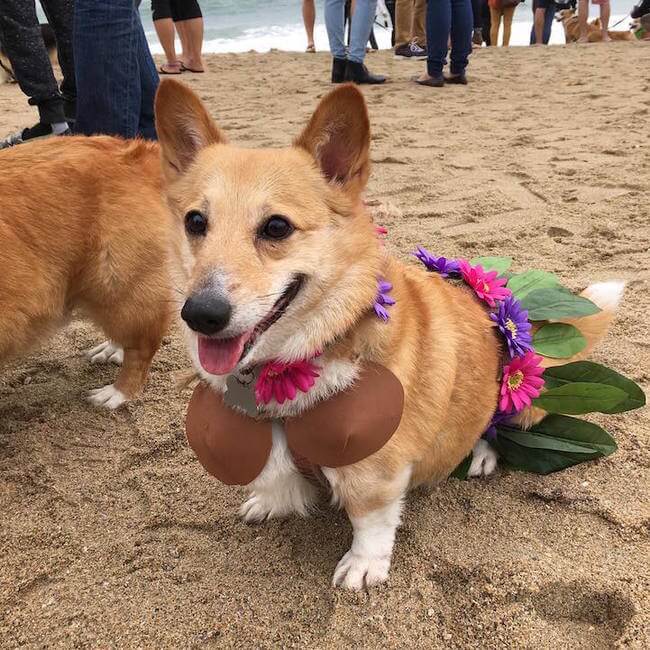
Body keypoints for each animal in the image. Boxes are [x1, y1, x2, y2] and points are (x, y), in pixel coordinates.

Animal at [153, 79, 624, 588]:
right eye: (195, 221)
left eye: (276, 227)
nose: (201, 314)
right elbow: (277, 478)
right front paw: (271, 502)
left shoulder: (375, 468)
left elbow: (370, 520)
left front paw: (364, 566)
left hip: (520, 402)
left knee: (495, 424)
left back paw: (481, 453)